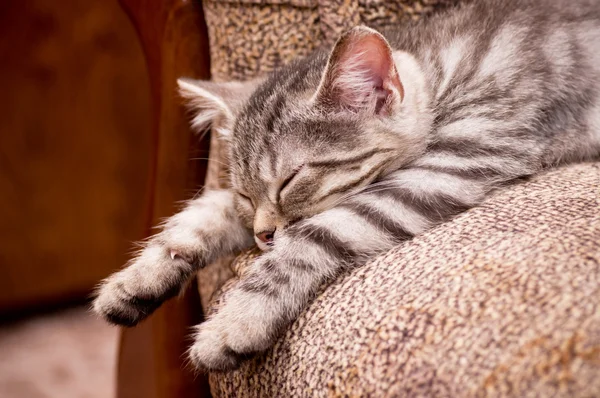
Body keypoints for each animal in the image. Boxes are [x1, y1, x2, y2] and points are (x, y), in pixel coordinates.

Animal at [91, 0, 600, 372]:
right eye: (245, 194)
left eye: (290, 181)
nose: (262, 235)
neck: (441, 68)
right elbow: (203, 214)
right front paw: (140, 277)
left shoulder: (457, 156)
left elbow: (318, 232)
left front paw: (236, 319)